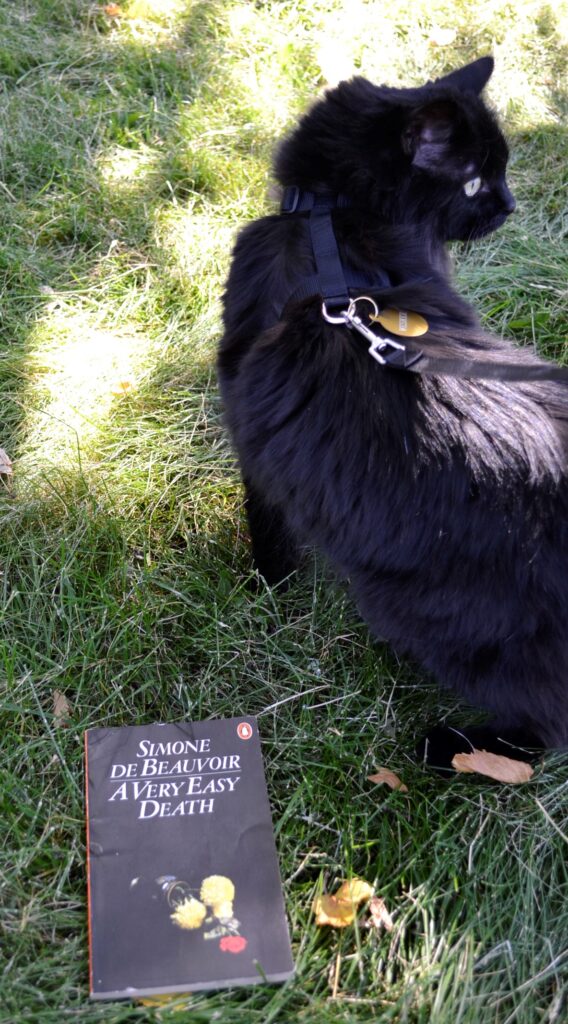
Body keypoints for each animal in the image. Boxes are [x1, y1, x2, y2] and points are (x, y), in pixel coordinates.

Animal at [219, 56, 568, 761]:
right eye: (475, 181)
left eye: (499, 174)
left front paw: (267, 593)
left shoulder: (252, 440)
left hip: (445, 622)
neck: (327, 223)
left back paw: (452, 748)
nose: (510, 205)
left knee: (549, 726)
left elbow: (267, 530)